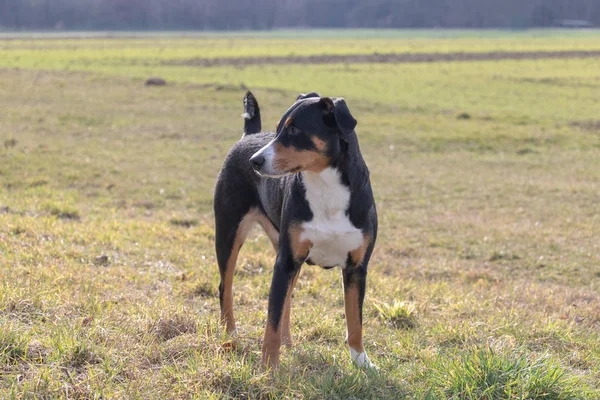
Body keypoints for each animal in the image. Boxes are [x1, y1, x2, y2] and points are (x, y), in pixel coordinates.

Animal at [213, 90, 378, 368]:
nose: (255, 161)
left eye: (294, 130)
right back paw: (231, 336)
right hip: (228, 234)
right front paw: (268, 366)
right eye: (279, 129)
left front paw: (361, 361)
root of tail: (249, 136)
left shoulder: (356, 268)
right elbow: (272, 320)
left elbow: (355, 321)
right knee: (226, 288)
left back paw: (288, 343)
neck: (326, 189)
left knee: (287, 300)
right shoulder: (286, 261)